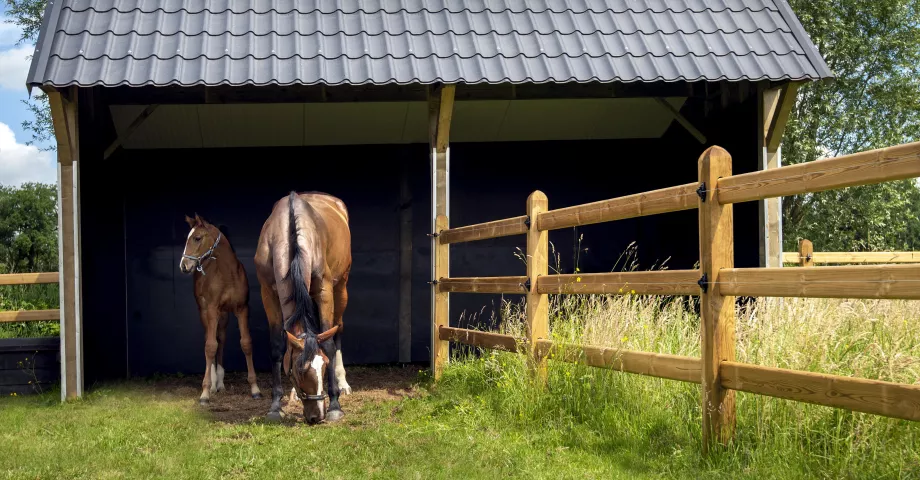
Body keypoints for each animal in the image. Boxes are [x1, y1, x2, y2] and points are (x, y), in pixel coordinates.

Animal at [179, 214, 262, 405]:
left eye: (197, 238)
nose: (184, 266)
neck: (227, 274)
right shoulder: (211, 310)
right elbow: (210, 346)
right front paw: (205, 392)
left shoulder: (242, 309)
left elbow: (246, 343)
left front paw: (255, 389)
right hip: (206, 313)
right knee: (210, 340)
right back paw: (214, 383)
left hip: (224, 315)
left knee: (221, 339)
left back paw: (220, 383)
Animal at [254, 191, 352, 424]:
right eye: (298, 372)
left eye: (324, 365)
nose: (317, 416)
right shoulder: (268, 293)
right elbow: (278, 346)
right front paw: (275, 406)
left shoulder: (324, 289)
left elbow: (328, 344)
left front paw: (335, 405)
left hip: (341, 288)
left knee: (338, 329)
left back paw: (343, 383)